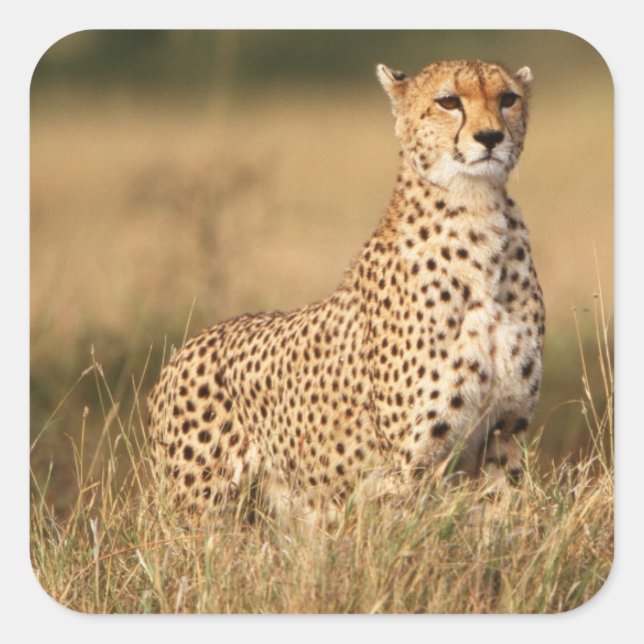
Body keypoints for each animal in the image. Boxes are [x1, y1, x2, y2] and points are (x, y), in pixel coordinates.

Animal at [147, 59, 545, 525]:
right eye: (449, 101)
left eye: (508, 98)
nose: (490, 137)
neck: (477, 213)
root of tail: (185, 348)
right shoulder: (410, 463)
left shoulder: (504, 435)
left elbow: (506, 526)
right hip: (199, 508)